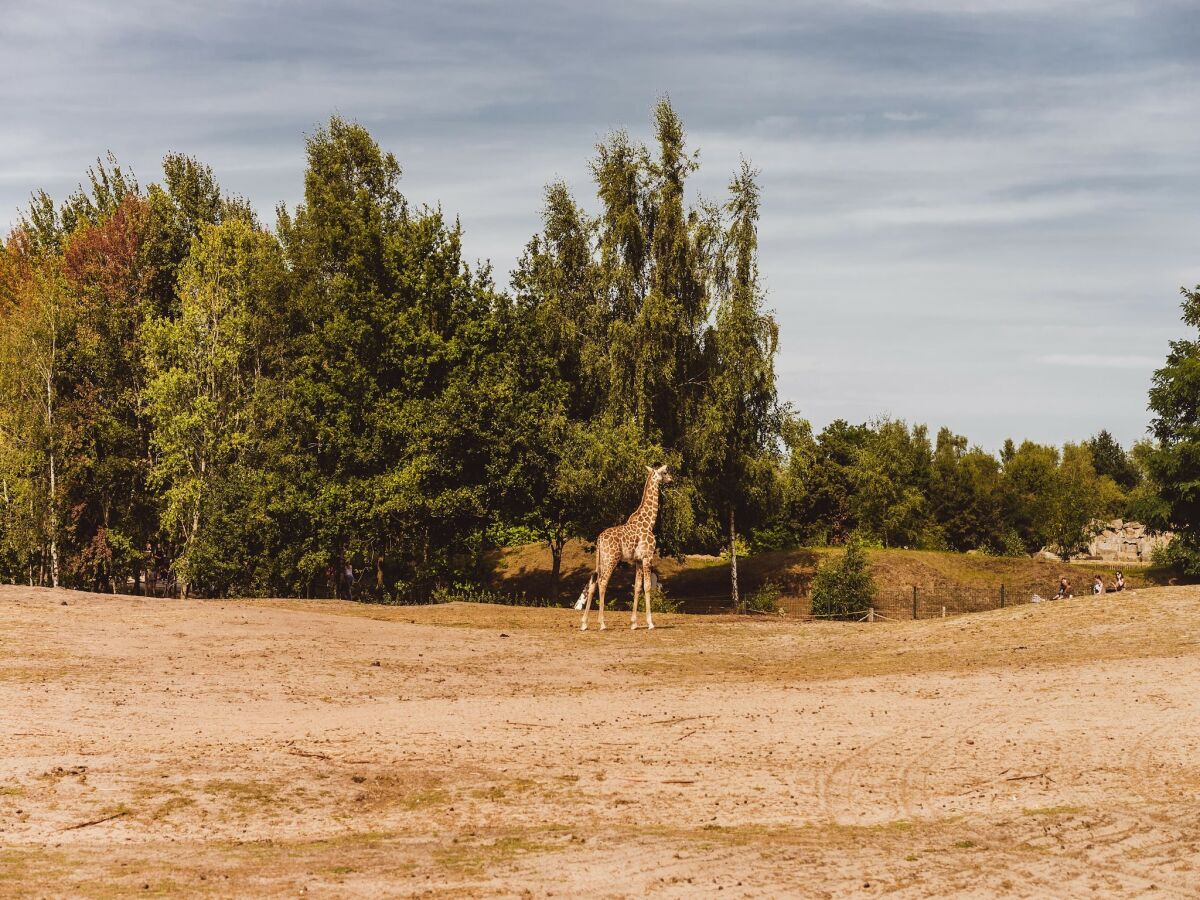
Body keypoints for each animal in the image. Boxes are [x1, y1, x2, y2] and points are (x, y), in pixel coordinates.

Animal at [583, 465, 676, 633]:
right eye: (665, 472)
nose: (671, 479)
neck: (649, 523)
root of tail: (599, 539)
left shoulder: (637, 560)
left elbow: (637, 587)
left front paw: (634, 623)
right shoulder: (647, 556)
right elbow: (647, 586)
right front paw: (650, 623)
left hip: (601, 560)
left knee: (592, 582)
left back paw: (584, 623)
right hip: (611, 559)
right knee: (603, 582)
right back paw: (602, 623)